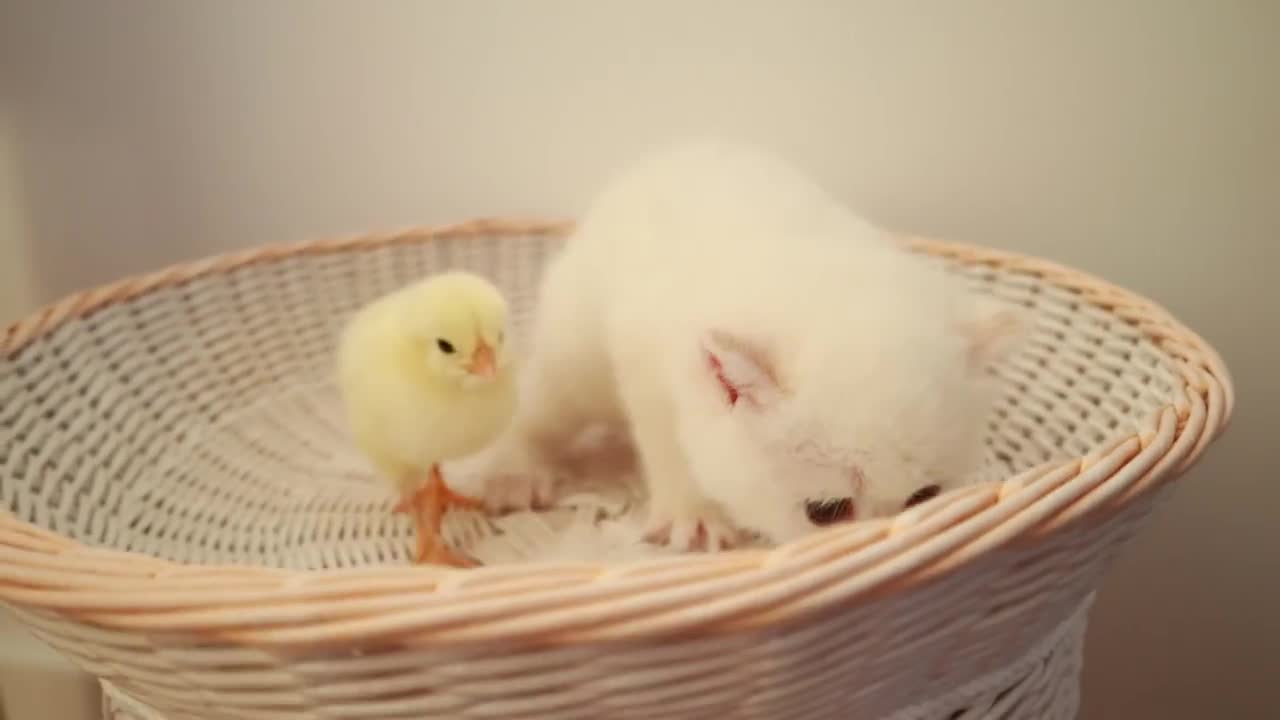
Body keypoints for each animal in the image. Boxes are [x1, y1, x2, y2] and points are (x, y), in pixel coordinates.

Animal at [481, 139, 1029, 543]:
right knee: (542, 403)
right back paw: (513, 472)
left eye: (925, 497)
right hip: (577, 347)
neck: (811, 273)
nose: (880, 541)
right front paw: (694, 514)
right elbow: (668, 441)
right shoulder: (645, 362)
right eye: (825, 511)